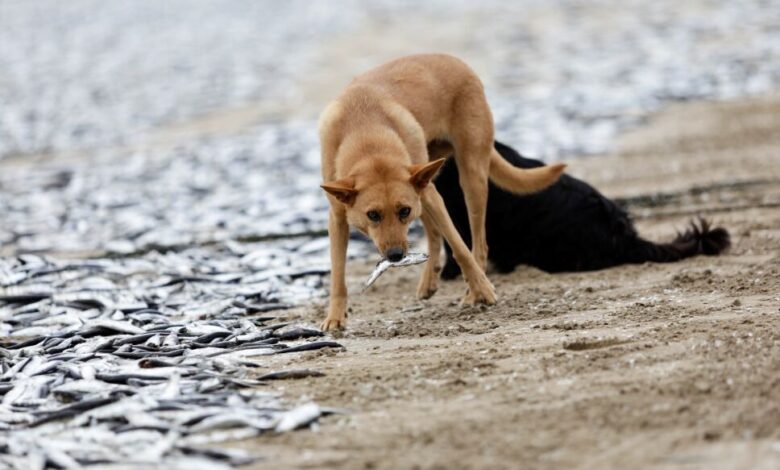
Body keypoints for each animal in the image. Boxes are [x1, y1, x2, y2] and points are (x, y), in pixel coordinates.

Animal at [318, 54, 568, 330]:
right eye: (372, 215)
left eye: (403, 211)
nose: (395, 256)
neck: (367, 137)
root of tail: (456, 61)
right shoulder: (337, 216)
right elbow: (338, 274)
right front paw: (335, 317)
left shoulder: (430, 198)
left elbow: (460, 248)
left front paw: (483, 289)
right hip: (427, 179)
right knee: (433, 232)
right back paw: (429, 280)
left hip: (468, 178)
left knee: (478, 244)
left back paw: (473, 292)